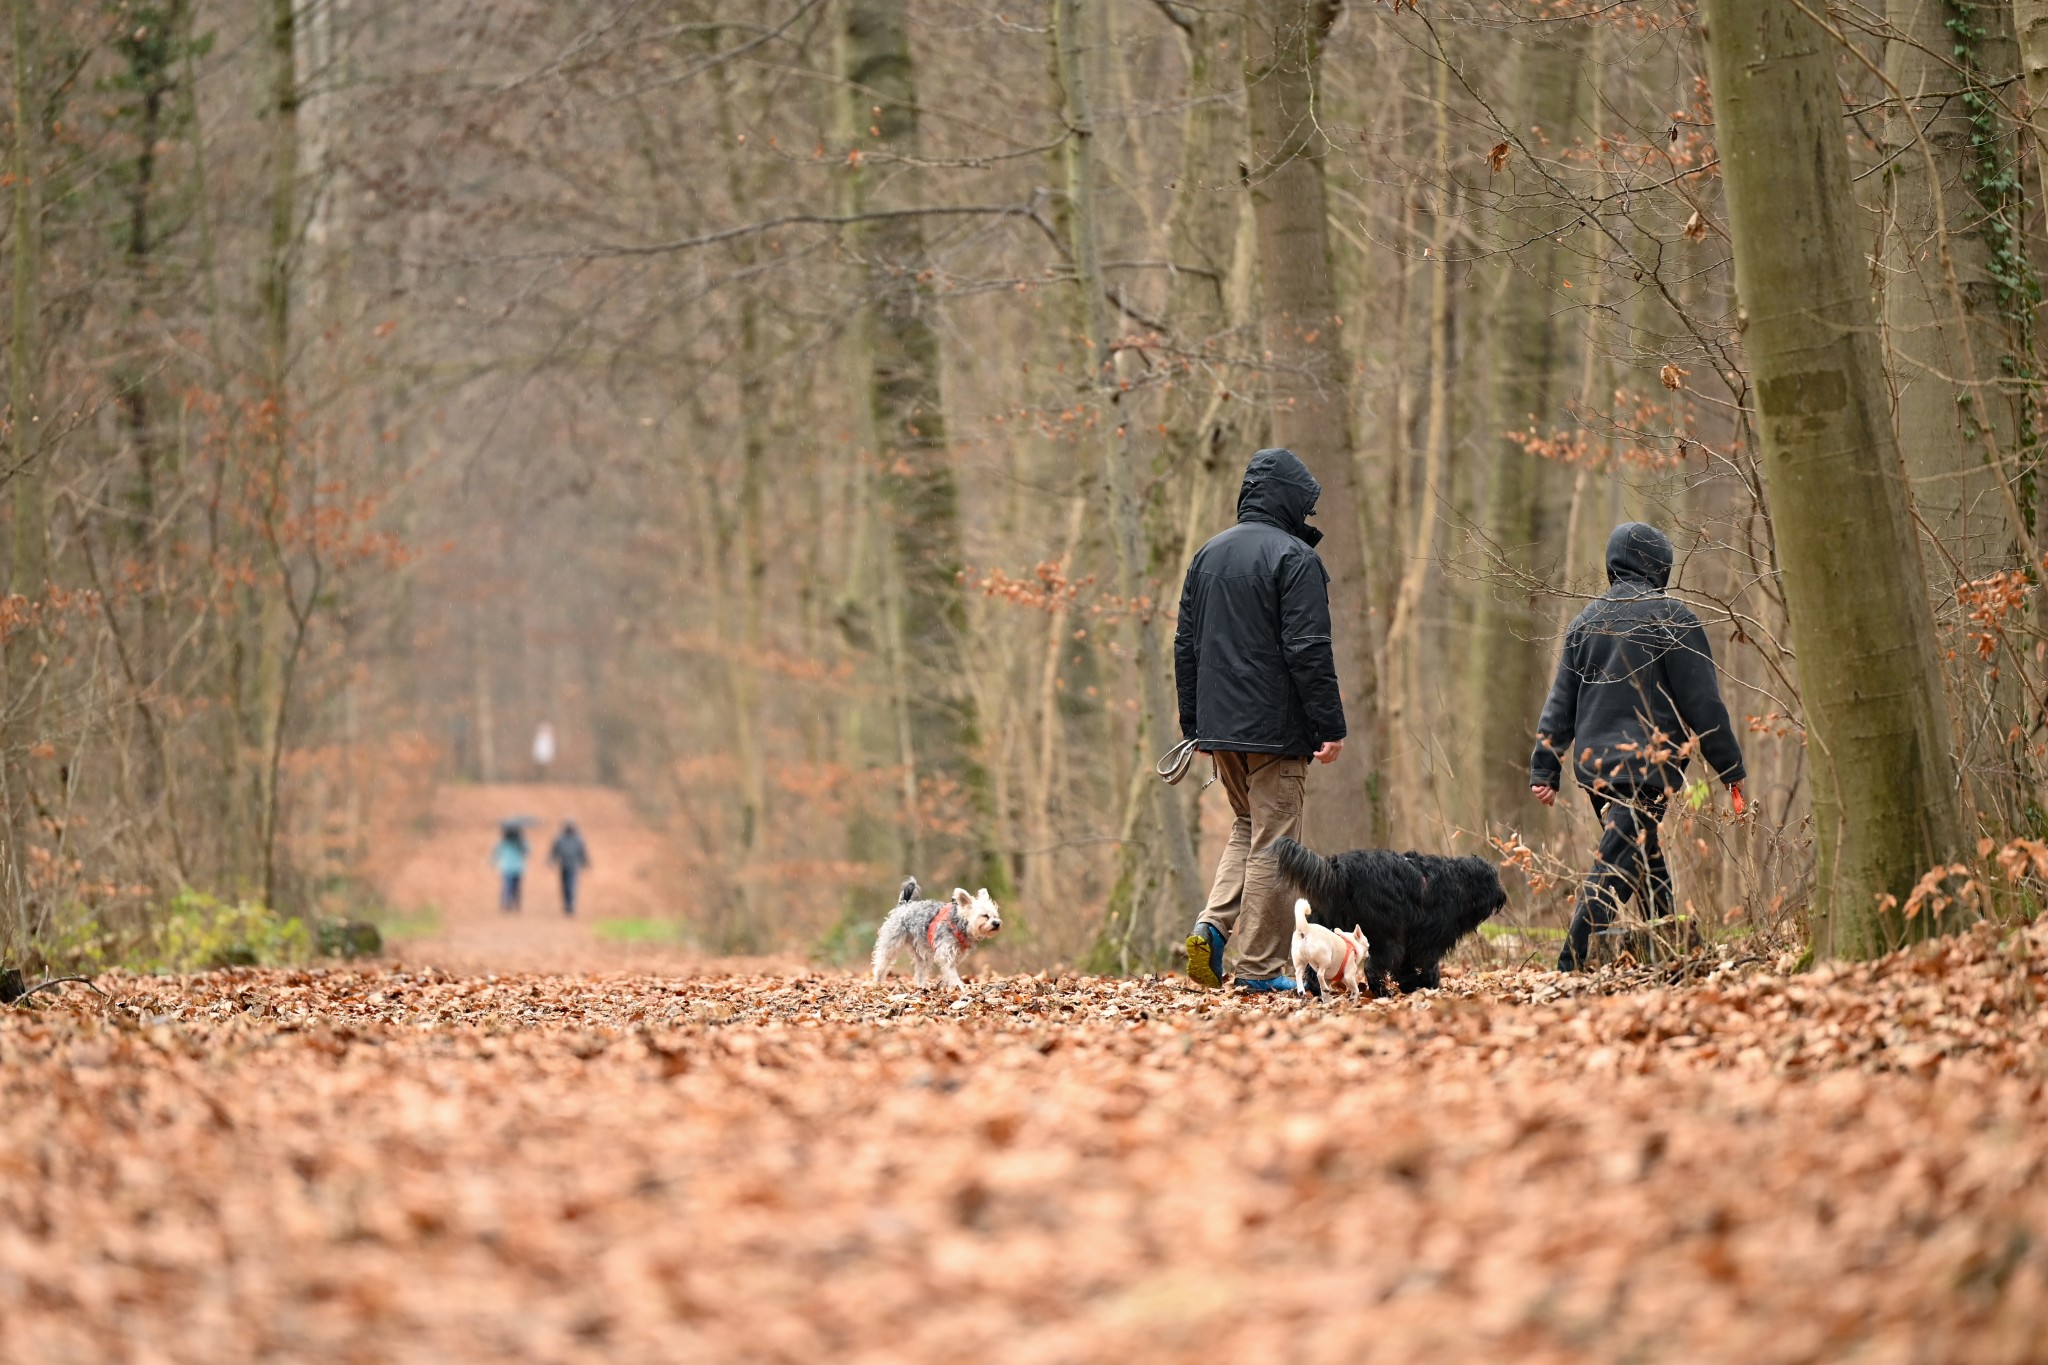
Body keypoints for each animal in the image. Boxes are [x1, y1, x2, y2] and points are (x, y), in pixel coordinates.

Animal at [1277, 839, 1507, 998]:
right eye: (1493, 878)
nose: (1502, 896)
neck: (1455, 881)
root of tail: (1340, 871)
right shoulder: (1428, 939)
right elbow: (1427, 964)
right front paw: (1427, 984)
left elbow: (1405, 966)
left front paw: (1410, 984)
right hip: (1386, 935)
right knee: (1373, 967)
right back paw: (1382, 992)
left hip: (1326, 929)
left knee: (1314, 970)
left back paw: (1319, 991)